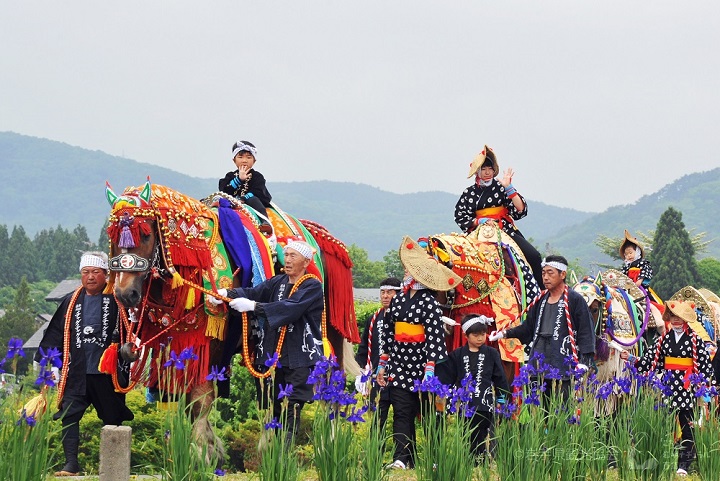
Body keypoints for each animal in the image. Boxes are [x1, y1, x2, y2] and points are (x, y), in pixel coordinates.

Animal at [101, 178, 360, 456]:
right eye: (112, 236)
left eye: (145, 234)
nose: (125, 293)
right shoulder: (175, 343)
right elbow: (185, 400)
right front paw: (206, 448)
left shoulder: (211, 343)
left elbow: (200, 400)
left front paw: (201, 452)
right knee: (272, 391)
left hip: (327, 334)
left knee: (330, 388)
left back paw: (327, 446)